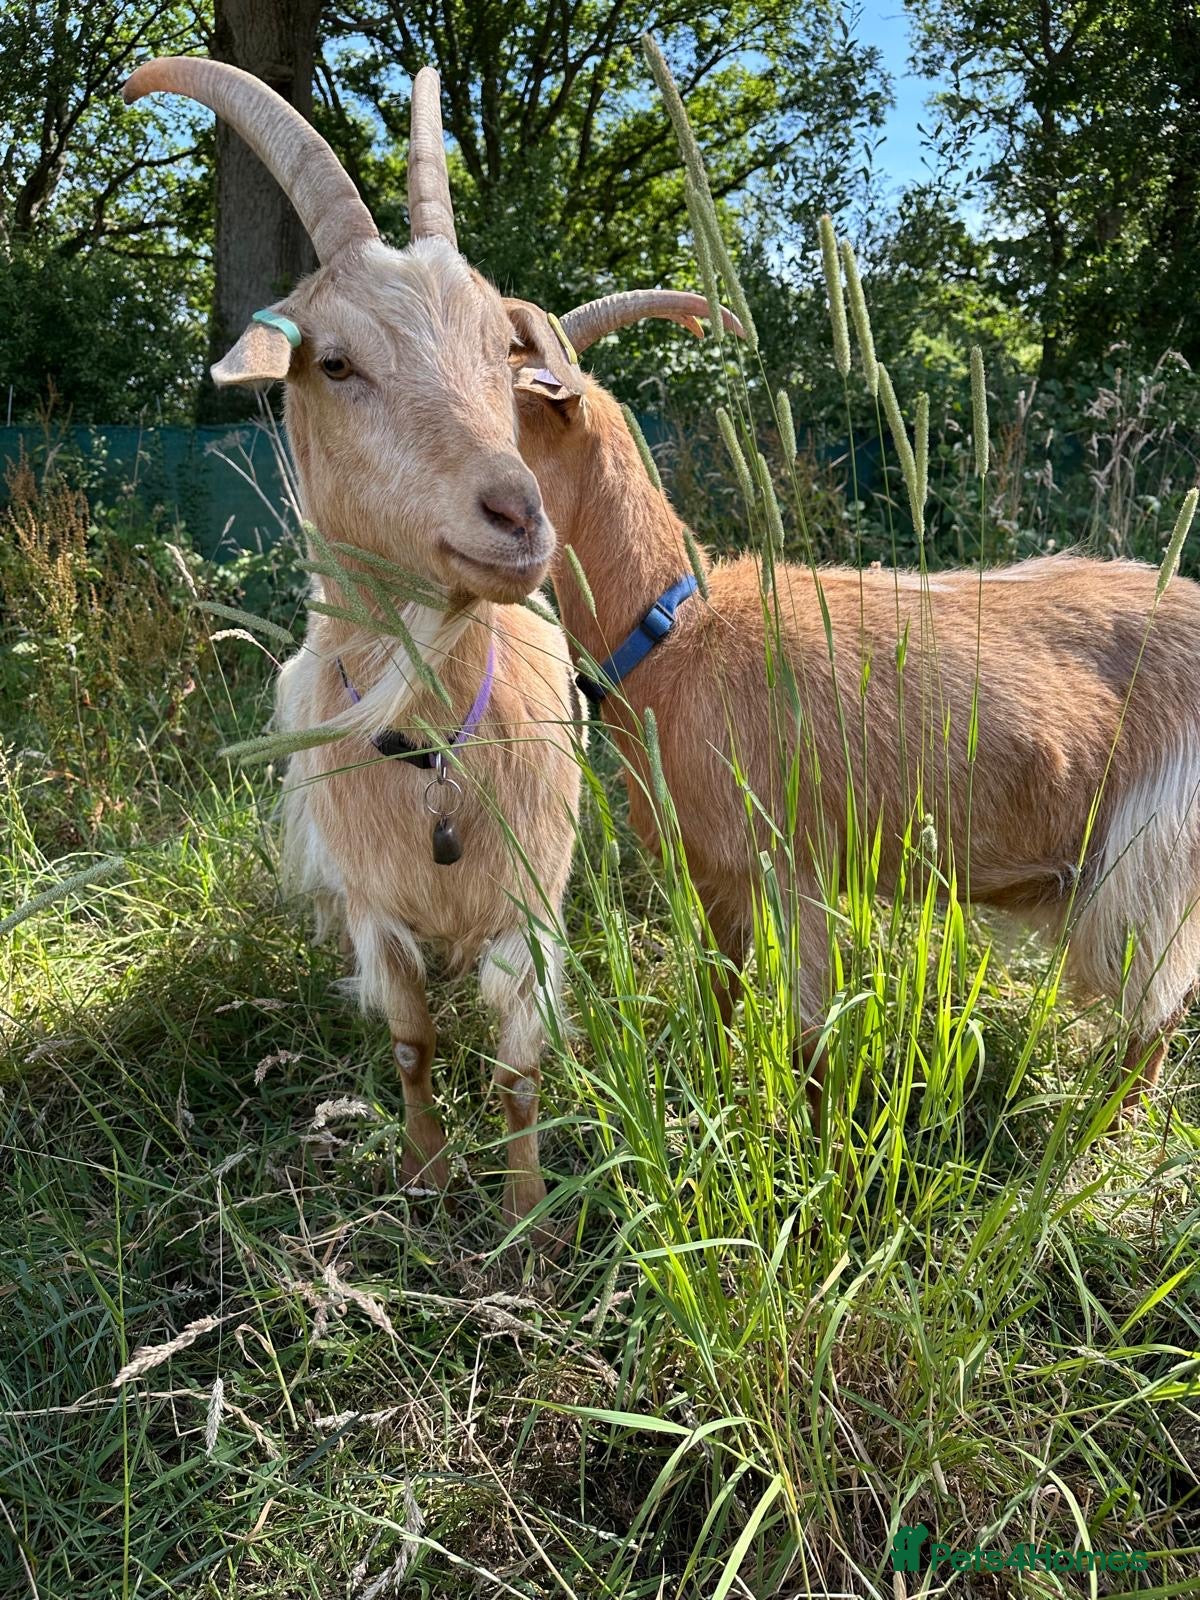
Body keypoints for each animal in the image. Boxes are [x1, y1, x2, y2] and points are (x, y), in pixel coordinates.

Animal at [125, 60, 580, 1238]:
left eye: (499, 351)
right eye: (334, 362)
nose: (519, 515)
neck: (434, 755)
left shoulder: (530, 907)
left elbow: (519, 1073)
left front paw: (525, 1214)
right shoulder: (379, 911)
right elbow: (414, 1041)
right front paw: (426, 1176)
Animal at [505, 291, 1200, 1117]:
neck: (677, 633)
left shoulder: (796, 868)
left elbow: (809, 1040)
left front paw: (820, 1140)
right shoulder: (717, 876)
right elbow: (717, 990)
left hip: (1149, 860)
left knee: (1155, 1011)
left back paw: (1104, 1125)